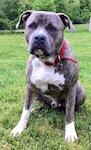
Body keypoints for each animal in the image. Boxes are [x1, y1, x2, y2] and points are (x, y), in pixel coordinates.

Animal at [10, 10, 85, 142]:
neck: (47, 61)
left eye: (52, 28)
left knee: (72, 107)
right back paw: (36, 110)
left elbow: (69, 113)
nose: (39, 37)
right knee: (44, 105)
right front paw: (19, 128)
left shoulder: (71, 87)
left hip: (80, 91)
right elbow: (25, 110)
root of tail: (55, 105)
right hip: (38, 94)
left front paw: (70, 132)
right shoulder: (30, 86)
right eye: (31, 26)